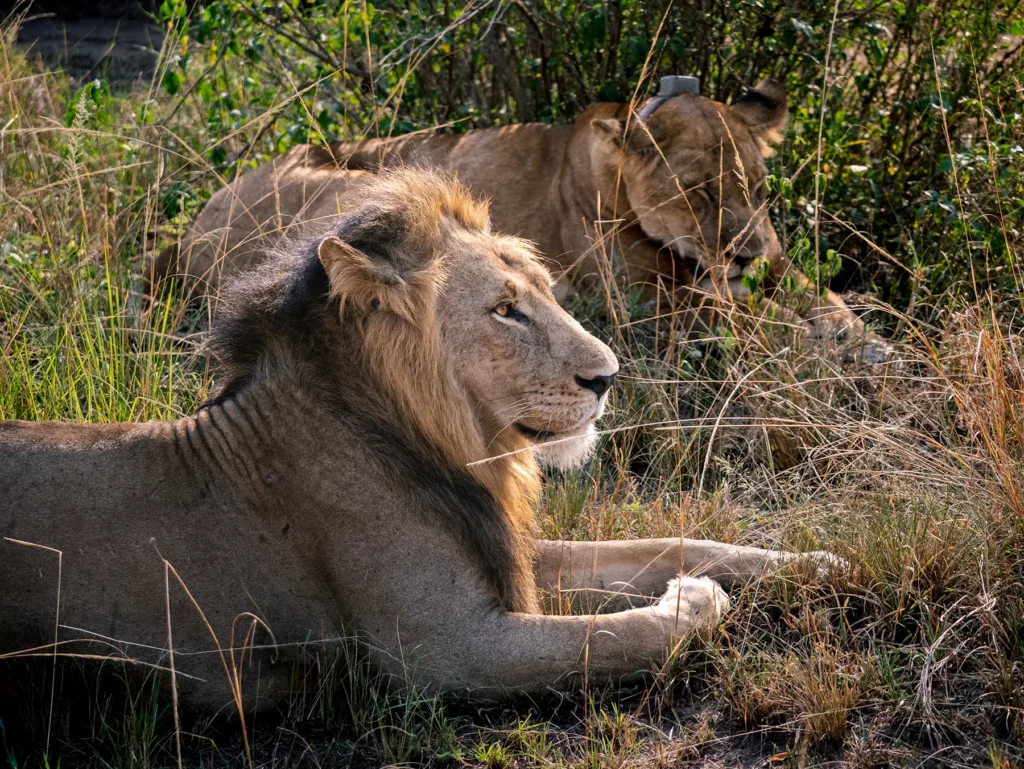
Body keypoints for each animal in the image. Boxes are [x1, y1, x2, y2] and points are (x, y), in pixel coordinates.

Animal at [3, 170, 839, 713]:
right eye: (505, 309)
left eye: (544, 293)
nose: (607, 377)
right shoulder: (445, 649)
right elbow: (619, 635)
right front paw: (695, 599)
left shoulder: (508, 557)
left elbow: (670, 541)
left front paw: (815, 562)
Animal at [151, 81, 887, 361]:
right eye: (698, 192)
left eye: (758, 190)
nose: (746, 255)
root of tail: (187, 233)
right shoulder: (649, 306)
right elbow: (755, 321)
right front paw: (832, 347)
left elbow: (818, 296)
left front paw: (862, 334)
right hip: (377, 180)